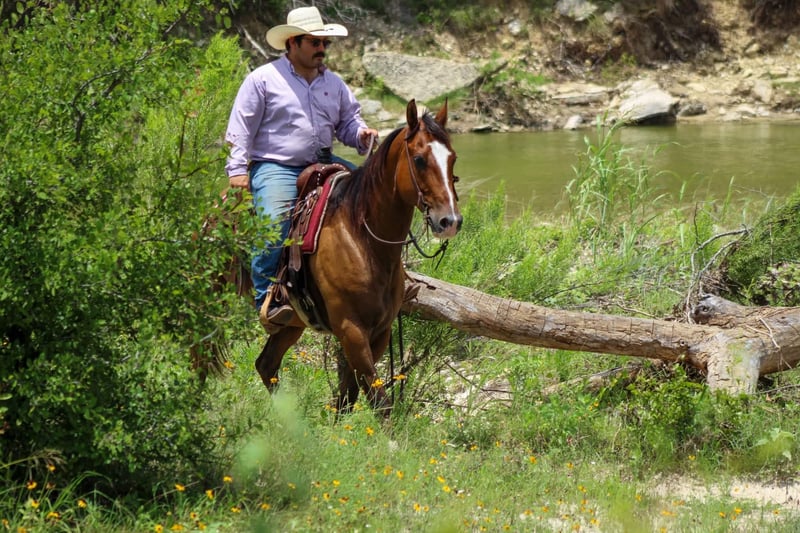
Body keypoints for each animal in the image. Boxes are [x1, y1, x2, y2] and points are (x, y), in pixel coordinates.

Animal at [255, 99, 462, 416]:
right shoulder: (351, 329)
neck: (361, 240)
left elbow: (348, 396)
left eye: (452, 158)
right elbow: (379, 401)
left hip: (292, 324)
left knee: (266, 365)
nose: (449, 221)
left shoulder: (379, 332)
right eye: (419, 159)